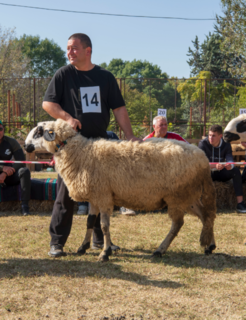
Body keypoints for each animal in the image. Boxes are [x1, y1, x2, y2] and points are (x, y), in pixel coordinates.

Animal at [25, 119, 216, 262]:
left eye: (38, 132)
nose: (26, 146)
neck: (80, 152)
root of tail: (204, 159)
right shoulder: (94, 197)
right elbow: (90, 222)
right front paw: (83, 247)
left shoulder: (104, 196)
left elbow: (104, 225)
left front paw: (105, 253)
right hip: (188, 196)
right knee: (206, 216)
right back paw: (209, 245)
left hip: (177, 196)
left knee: (179, 223)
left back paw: (160, 250)